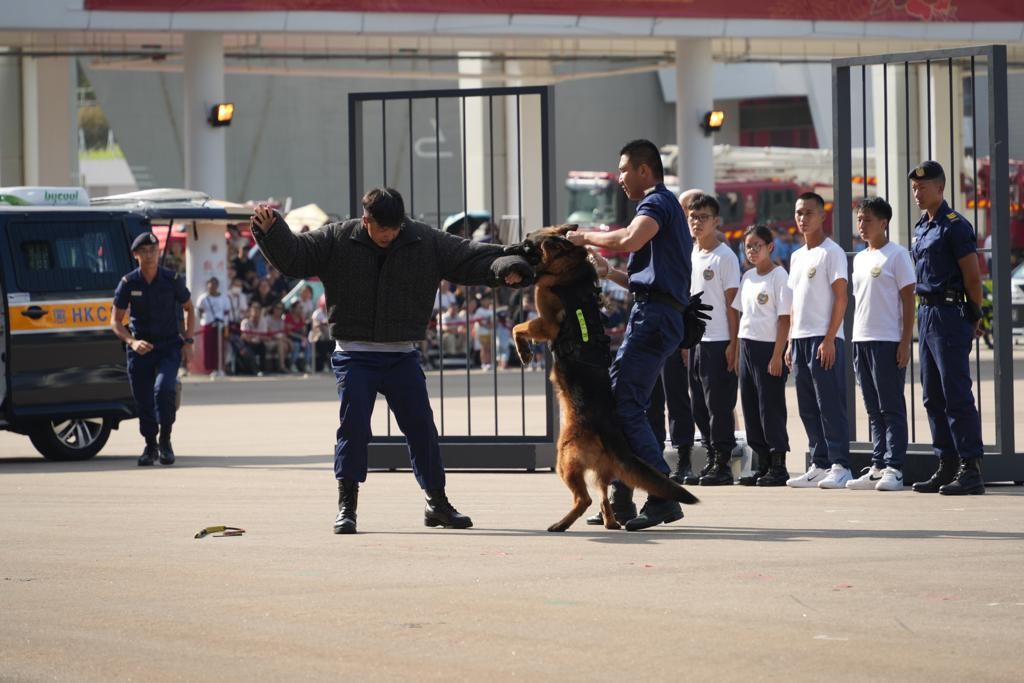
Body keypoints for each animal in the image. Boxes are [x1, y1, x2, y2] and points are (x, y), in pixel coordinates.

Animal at [507, 227, 700, 532]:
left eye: (528, 245)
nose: (508, 249)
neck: (567, 266)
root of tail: (611, 434)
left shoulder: (546, 324)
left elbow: (518, 327)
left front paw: (523, 351)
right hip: (601, 471)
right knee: (603, 496)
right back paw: (610, 521)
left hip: (564, 458)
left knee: (584, 498)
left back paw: (562, 524)